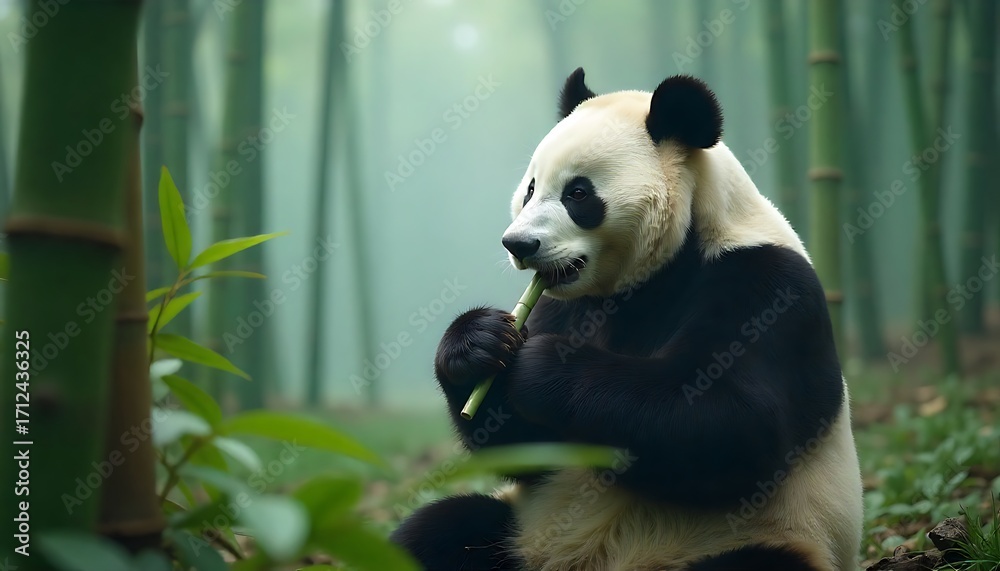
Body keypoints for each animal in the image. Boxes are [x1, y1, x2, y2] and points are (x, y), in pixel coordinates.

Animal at [391, 69, 863, 571]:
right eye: (532, 188)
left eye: (578, 193)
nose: (518, 244)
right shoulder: (563, 304)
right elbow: (520, 445)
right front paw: (478, 346)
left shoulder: (764, 286)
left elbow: (732, 422)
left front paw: (539, 365)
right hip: (518, 530)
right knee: (439, 531)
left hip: (760, 538)